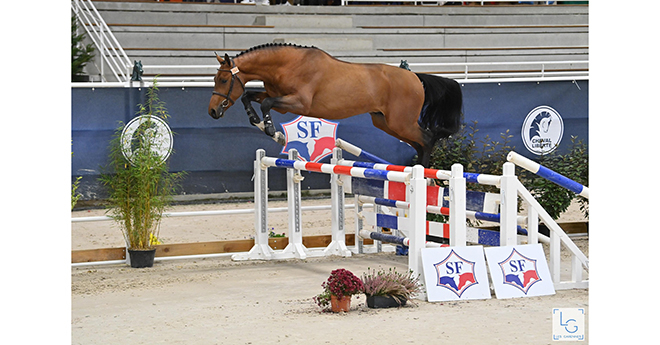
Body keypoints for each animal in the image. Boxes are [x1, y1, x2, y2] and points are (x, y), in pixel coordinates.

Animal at [209, 43, 462, 167]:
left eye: (223, 80)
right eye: (215, 79)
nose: (212, 111)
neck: (287, 65)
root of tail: (415, 77)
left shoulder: (298, 102)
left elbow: (266, 103)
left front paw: (272, 130)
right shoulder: (283, 103)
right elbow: (248, 96)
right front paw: (257, 122)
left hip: (401, 122)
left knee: (427, 139)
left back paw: (425, 173)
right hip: (386, 123)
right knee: (420, 143)